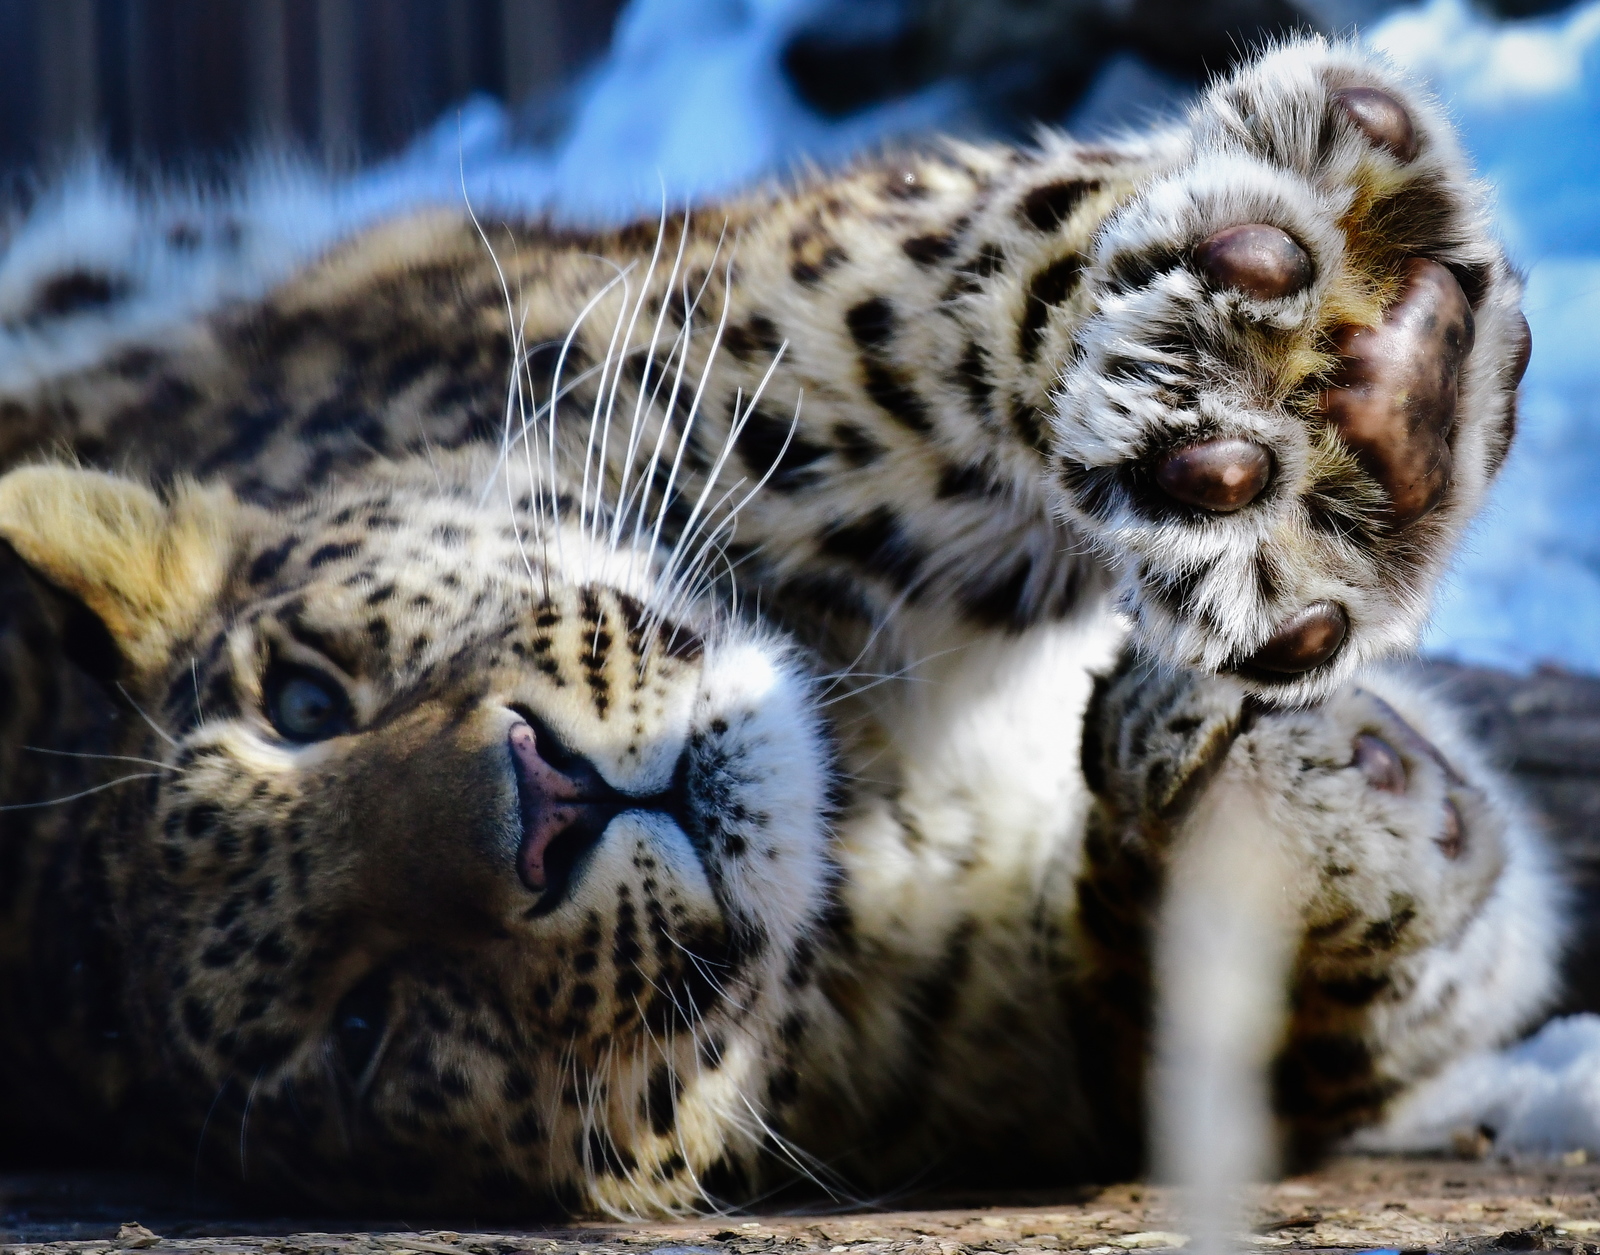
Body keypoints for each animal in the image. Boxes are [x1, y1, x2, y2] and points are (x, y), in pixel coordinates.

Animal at [0, 41, 1561, 1222]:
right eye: (364, 1027)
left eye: (306, 699)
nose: (545, 801)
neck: (868, 747)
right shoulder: (1055, 1063)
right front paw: (1310, 814)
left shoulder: (656, 325)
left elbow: (864, 320)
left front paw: (1318, 359)